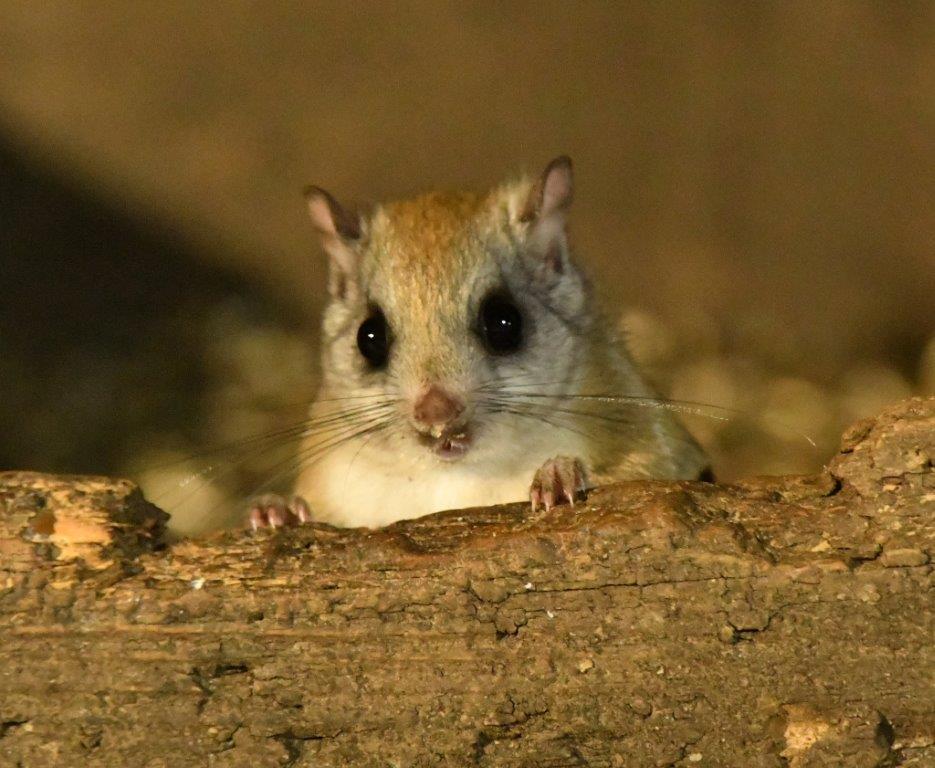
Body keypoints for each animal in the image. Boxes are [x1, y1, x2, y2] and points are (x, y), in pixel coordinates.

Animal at [248, 157, 709, 530]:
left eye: (504, 322)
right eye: (369, 337)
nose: (435, 414)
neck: (454, 475)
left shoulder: (654, 445)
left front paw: (559, 476)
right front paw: (277, 512)